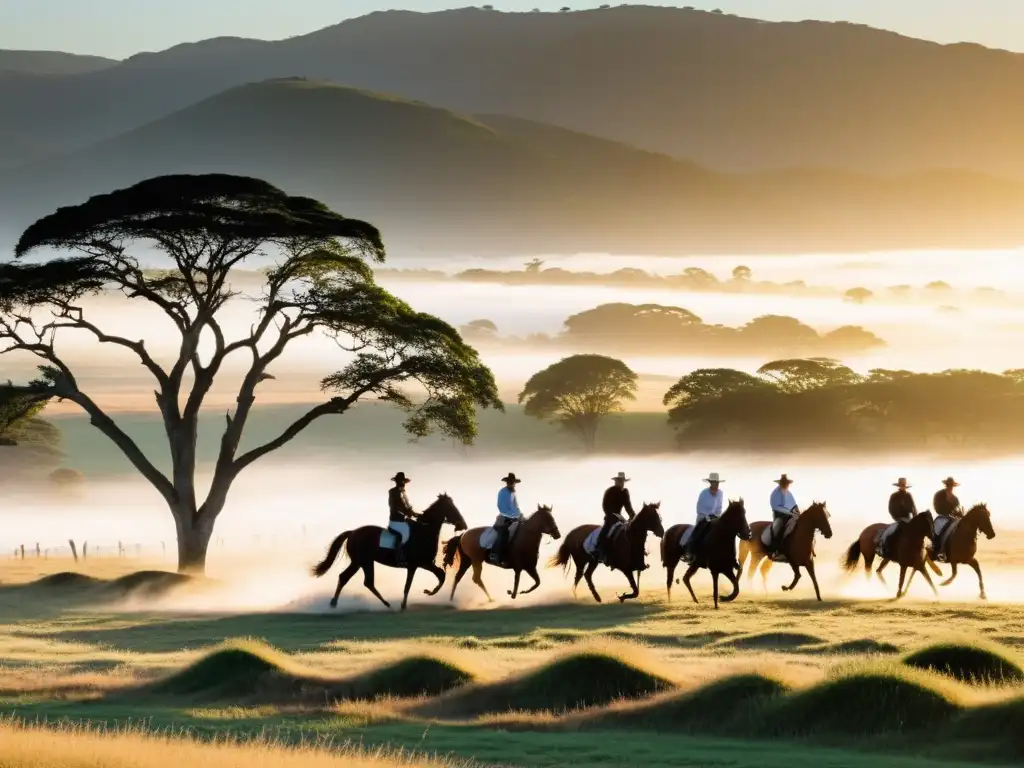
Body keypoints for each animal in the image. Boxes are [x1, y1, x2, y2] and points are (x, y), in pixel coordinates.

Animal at [311, 495, 468, 618]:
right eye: (451, 508)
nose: (463, 525)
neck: (424, 531)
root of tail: (353, 532)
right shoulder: (416, 565)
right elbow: (408, 586)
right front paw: (406, 604)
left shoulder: (425, 564)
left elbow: (441, 575)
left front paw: (429, 592)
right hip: (364, 561)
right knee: (367, 582)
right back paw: (388, 605)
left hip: (358, 562)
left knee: (346, 578)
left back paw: (333, 604)